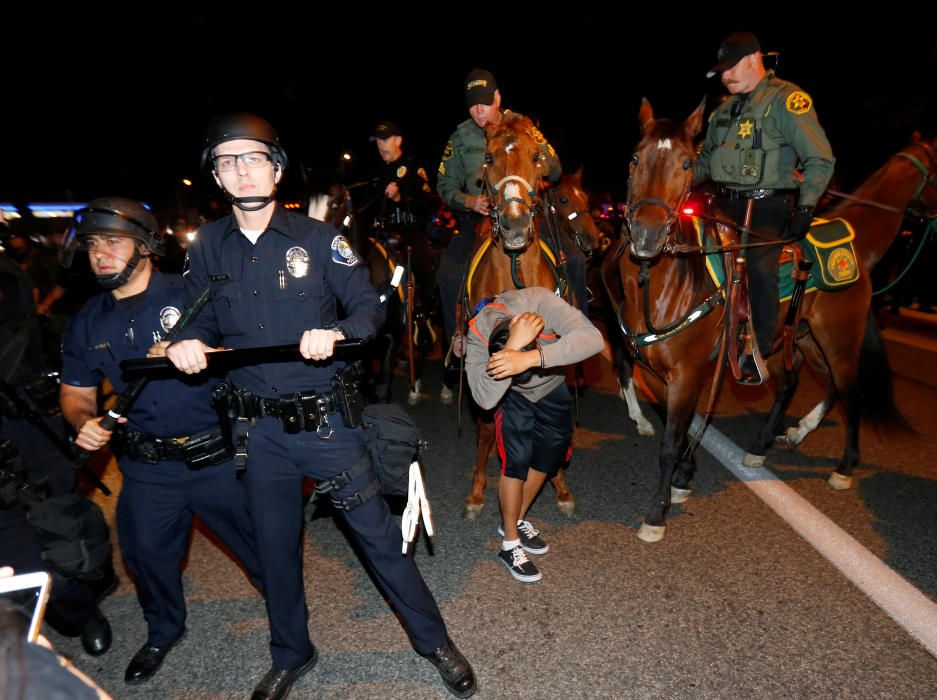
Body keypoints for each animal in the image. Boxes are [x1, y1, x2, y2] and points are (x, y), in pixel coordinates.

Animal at [462, 113, 576, 520]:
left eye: (537, 156)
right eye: (489, 157)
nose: (514, 223)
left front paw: (560, 486)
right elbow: (484, 428)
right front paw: (476, 493)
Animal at [604, 100, 932, 540]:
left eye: (687, 163)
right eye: (635, 158)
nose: (646, 234)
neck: (664, 283)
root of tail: (855, 257)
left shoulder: (688, 373)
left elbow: (672, 440)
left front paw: (657, 512)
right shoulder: (658, 373)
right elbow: (677, 425)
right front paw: (685, 474)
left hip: (838, 342)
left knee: (851, 393)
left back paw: (844, 467)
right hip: (796, 341)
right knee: (803, 384)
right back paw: (768, 444)